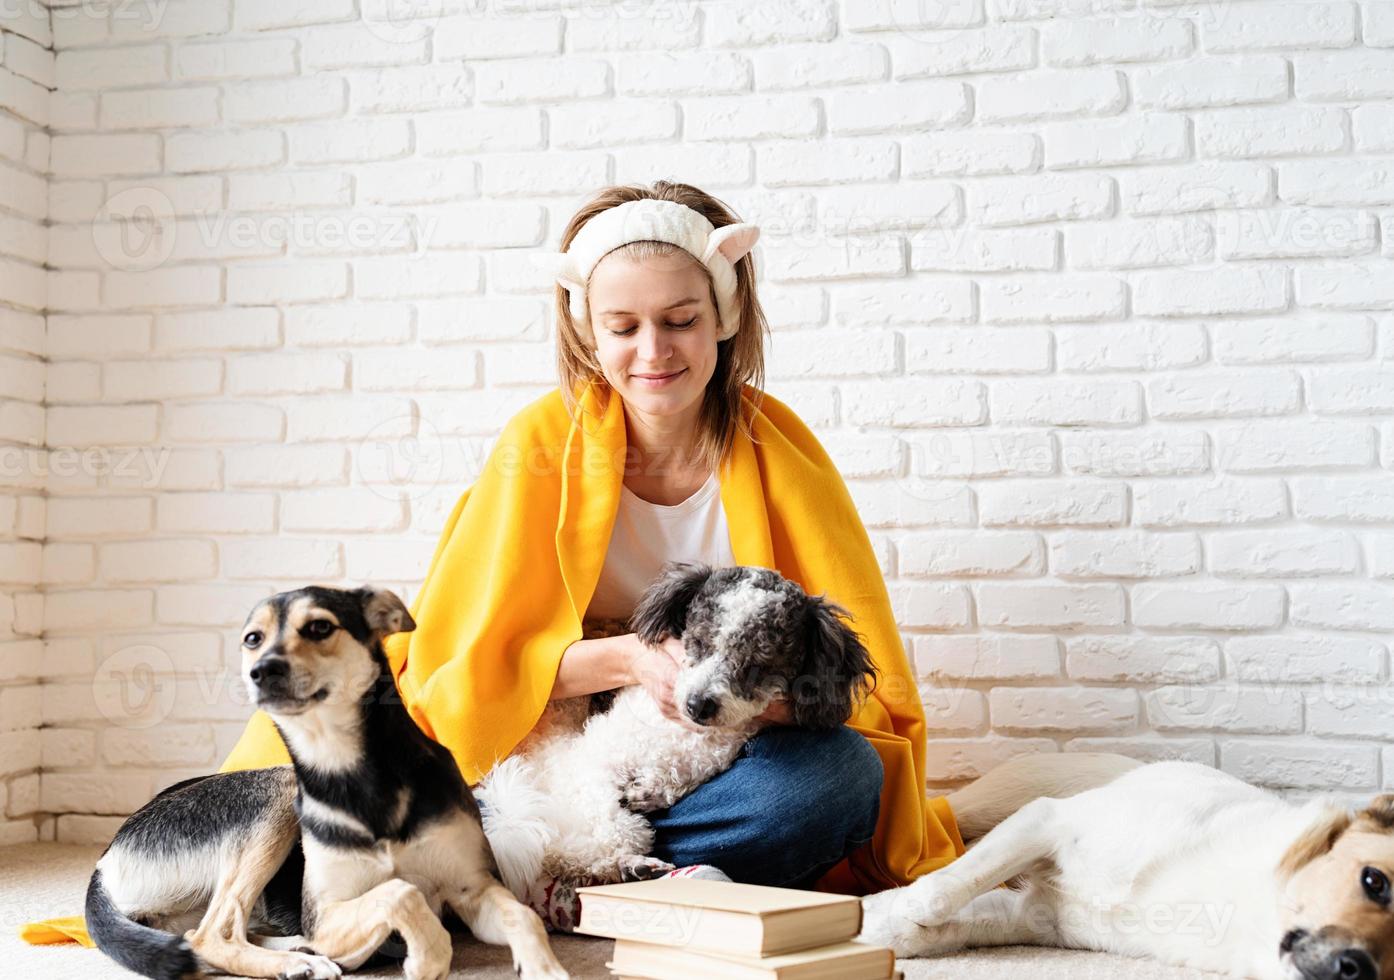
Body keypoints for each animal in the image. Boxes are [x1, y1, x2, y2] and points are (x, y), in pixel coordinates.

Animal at [858, 752, 1394, 980]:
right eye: (1376, 882)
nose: (1356, 970)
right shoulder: (1049, 819)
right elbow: (936, 894)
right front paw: (890, 910)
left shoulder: (1035, 915)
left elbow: (939, 925)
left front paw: (878, 925)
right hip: (987, 804)